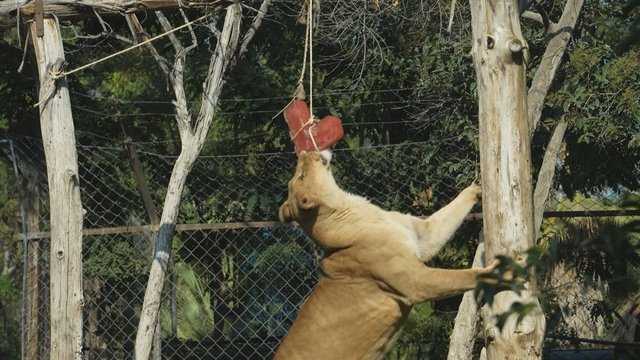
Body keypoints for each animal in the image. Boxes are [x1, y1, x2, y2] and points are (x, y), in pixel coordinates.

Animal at [276, 150, 496, 358]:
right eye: (302, 175)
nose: (303, 152)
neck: (352, 209)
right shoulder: (417, 282)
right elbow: (467, 275)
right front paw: (501, 271)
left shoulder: (424, 237)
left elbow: (453, 209)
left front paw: (477, 185)